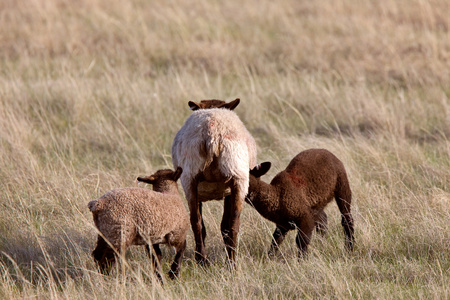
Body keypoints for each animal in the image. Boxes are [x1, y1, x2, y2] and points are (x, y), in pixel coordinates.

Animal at [171, 98, 256, 264]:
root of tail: (213, 134)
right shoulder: (228, 190)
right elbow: (224, 225)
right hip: (238, 177)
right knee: (232, 222)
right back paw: (225, 261)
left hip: (191, 177)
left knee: (197, 221)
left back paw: (206, 260)